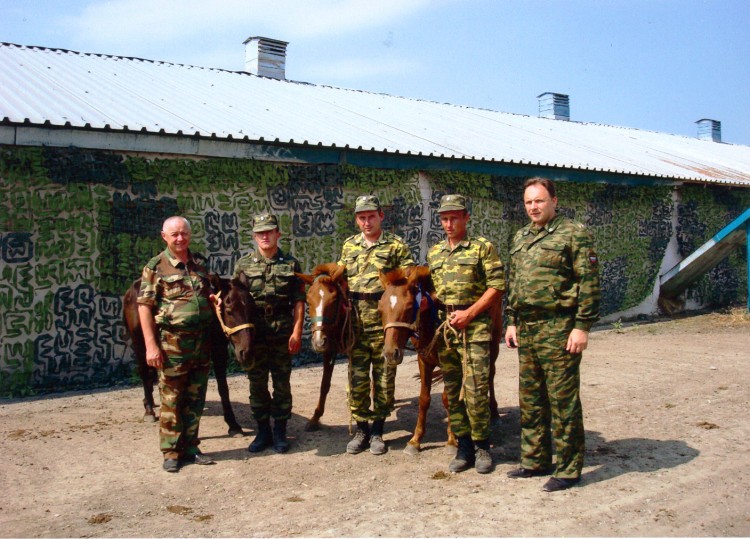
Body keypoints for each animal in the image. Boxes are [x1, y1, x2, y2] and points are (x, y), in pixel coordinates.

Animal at [122, 276, 254, 436]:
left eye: (252, 308)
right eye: (229, 311)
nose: (246, 352)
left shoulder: (219, 350)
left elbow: (223, 388)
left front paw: (233, 425)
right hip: (140, 343)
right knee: (145, 372)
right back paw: (149, 411)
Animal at [296, 264, 354, 432]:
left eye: (334, 299)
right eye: (308, 300)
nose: (318, 341)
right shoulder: (328, 351)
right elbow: (324, 384)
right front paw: (315, 418)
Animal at [378, 266, 502, 456]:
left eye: (408, 307)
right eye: (380, 308)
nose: (391, 353)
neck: (432, 320)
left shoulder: (447, 361)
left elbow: (447, 398)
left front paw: (452, 439)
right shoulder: (424, 360)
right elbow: (424, 399)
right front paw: (415, 440)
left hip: (493, 344)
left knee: (490, 375)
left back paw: (493, 412)